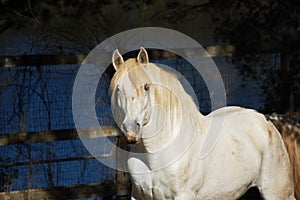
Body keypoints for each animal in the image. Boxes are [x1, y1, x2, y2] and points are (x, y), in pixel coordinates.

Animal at [108, 47, 296, 199]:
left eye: (146, 87)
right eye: (118, 89)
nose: (131, 130)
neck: (154, 153)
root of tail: (267, 121)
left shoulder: (183, 195)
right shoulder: (139, 196)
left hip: (277, 193)